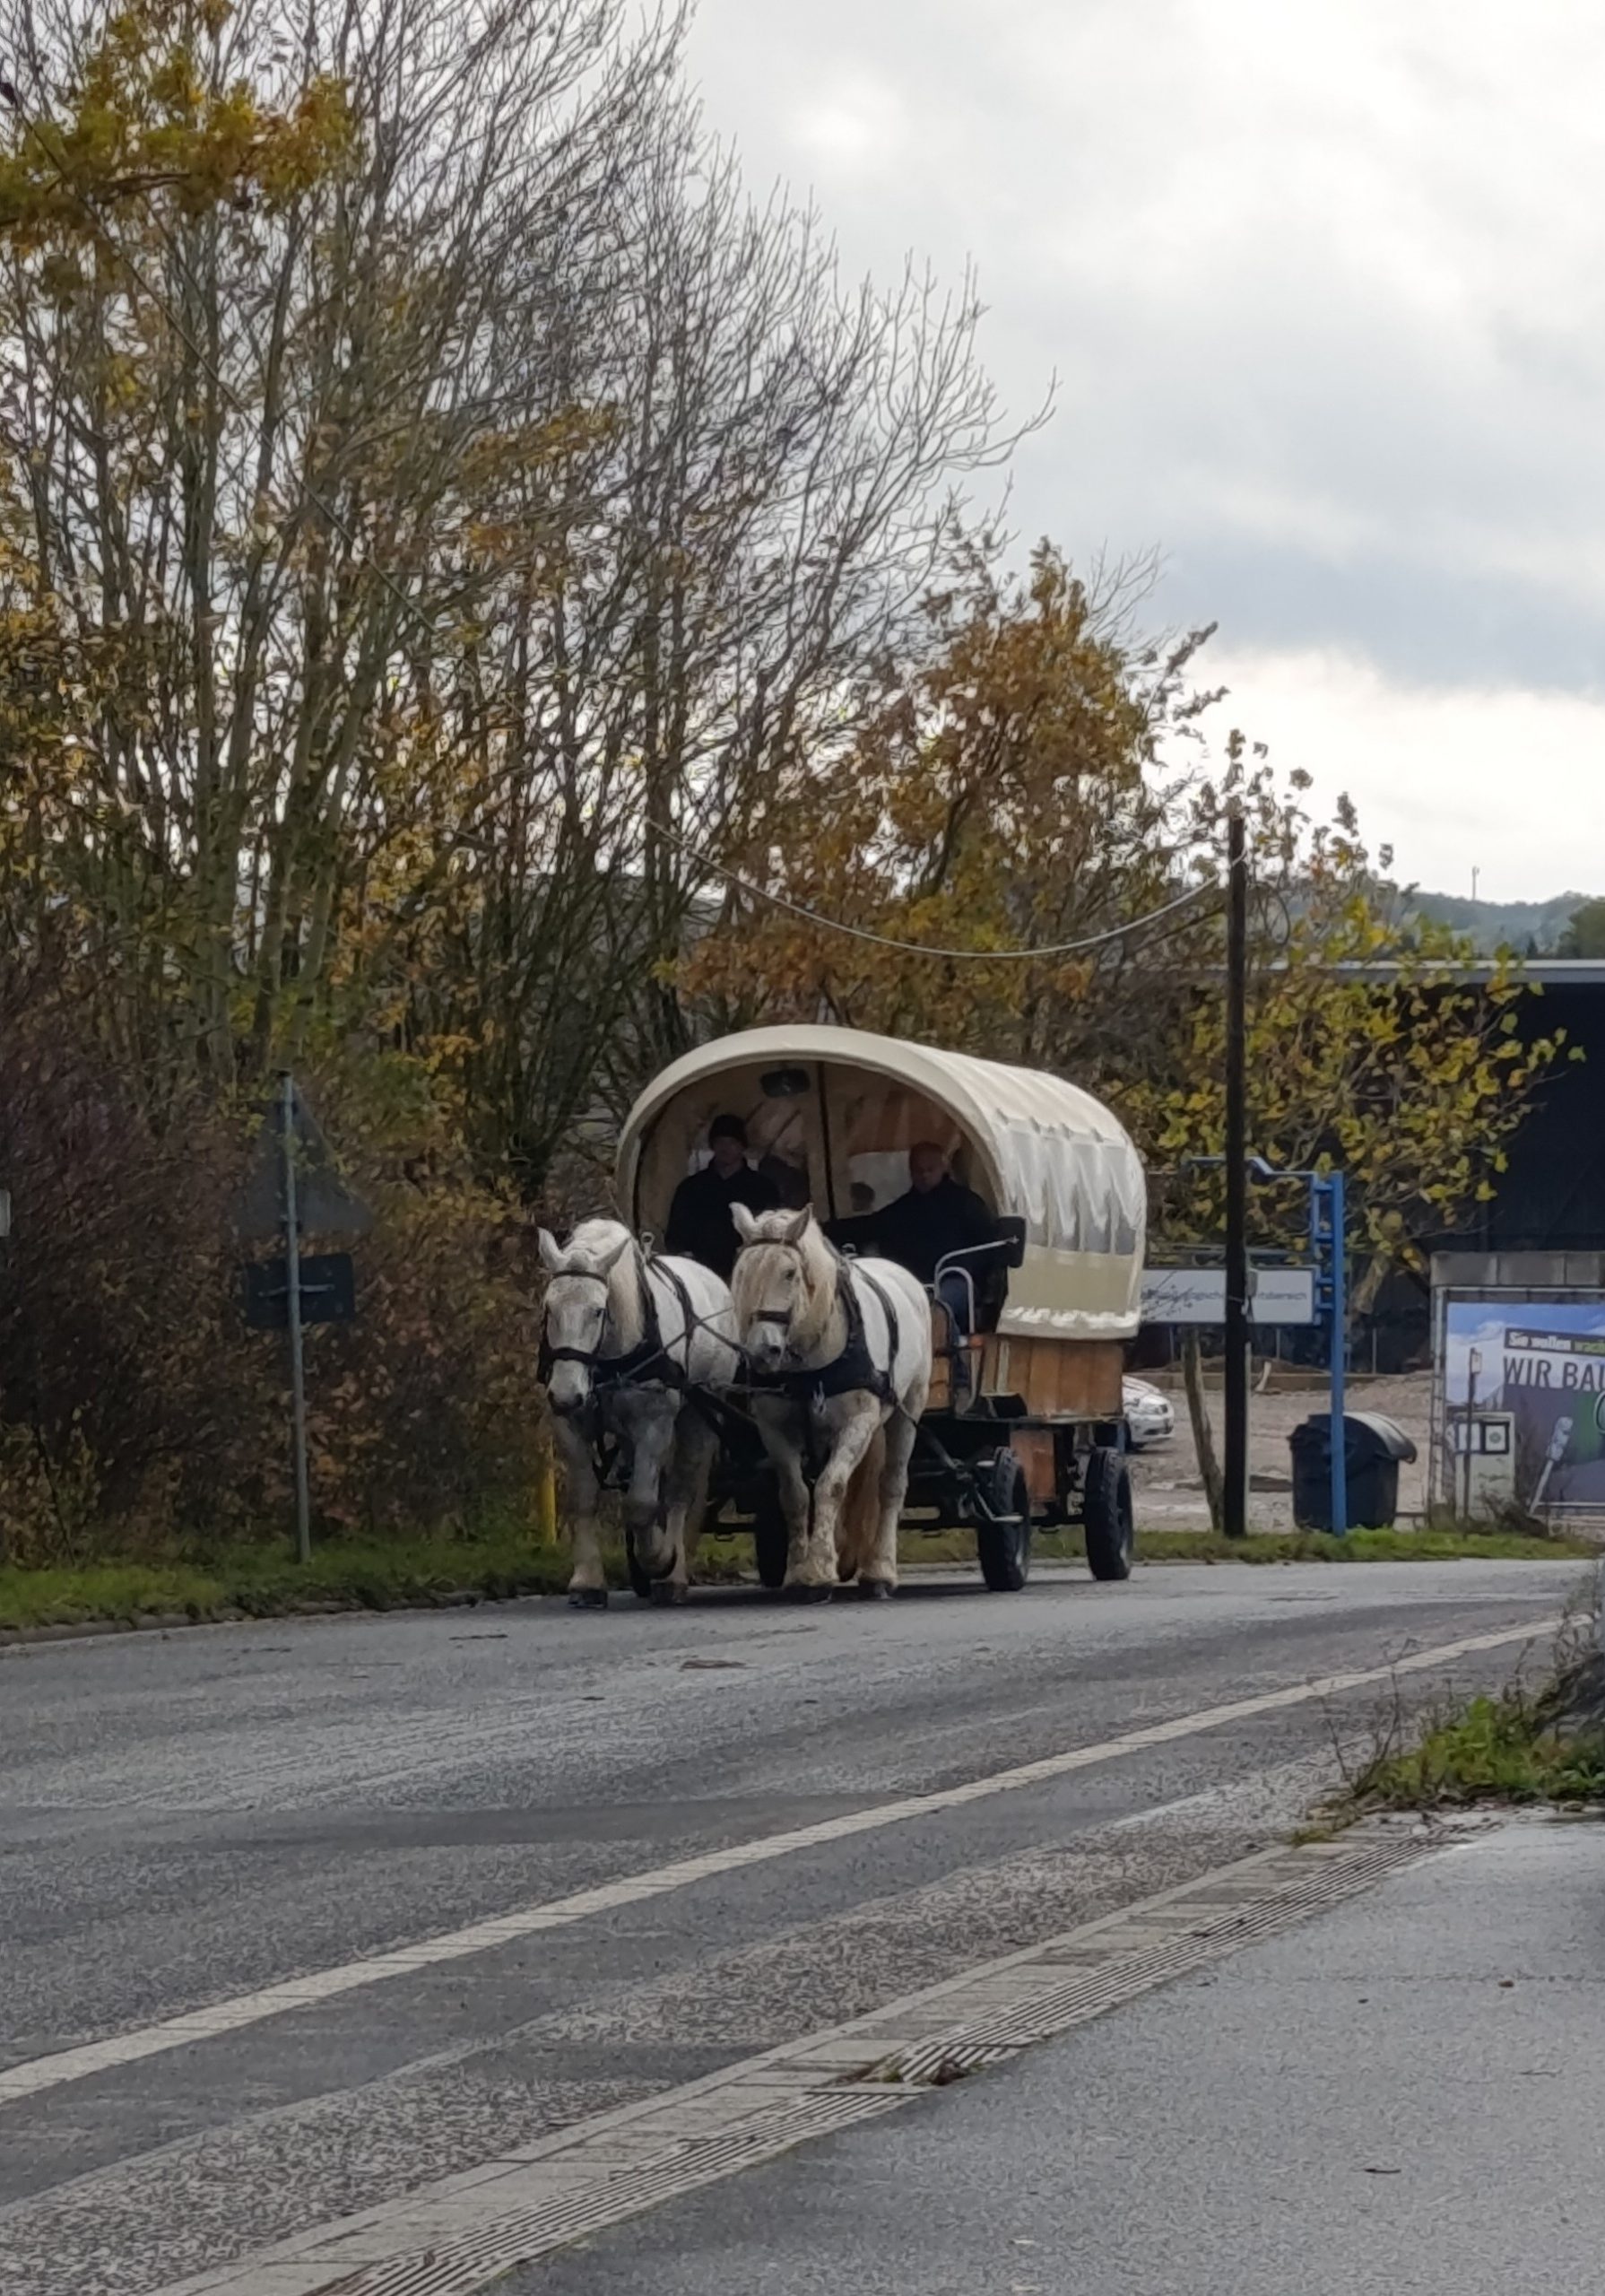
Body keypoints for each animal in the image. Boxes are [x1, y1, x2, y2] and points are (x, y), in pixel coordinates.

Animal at [538, 1218, 742, 1607]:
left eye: (597, 1310)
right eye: (549, 1308)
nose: (566, 1394)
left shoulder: (654, 1422)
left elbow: (642, 1503)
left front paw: (659, 1558)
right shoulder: (571, 1425)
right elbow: (584, 1499)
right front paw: (587, 1581)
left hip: (697, 1419)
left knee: (680, 1491)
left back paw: (672, 1575)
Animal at [729, 1204, 931, 1599]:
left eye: (789, 1273)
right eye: (742, 1272)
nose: (762, 1351)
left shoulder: (857, 1423)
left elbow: (830, 1486)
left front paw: (820, 1571)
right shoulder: (775, 1429)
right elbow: (795, 1495)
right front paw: (798, 1571)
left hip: (908, 1410)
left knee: (891, 1486)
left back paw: (880, 1571)